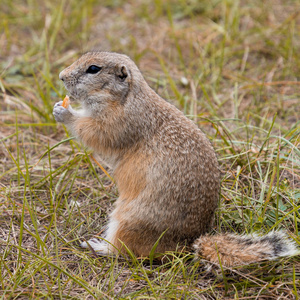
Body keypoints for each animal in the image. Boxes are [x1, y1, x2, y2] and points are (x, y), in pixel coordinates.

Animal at [52, 51, 298, 268]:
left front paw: (66, 113)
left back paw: (97, 246)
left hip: (127, 220)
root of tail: (186, 244)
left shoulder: (118, 122)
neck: (126, 97)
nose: (61, 76)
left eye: (94, 69)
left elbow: (95, 133)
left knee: (124, 251)